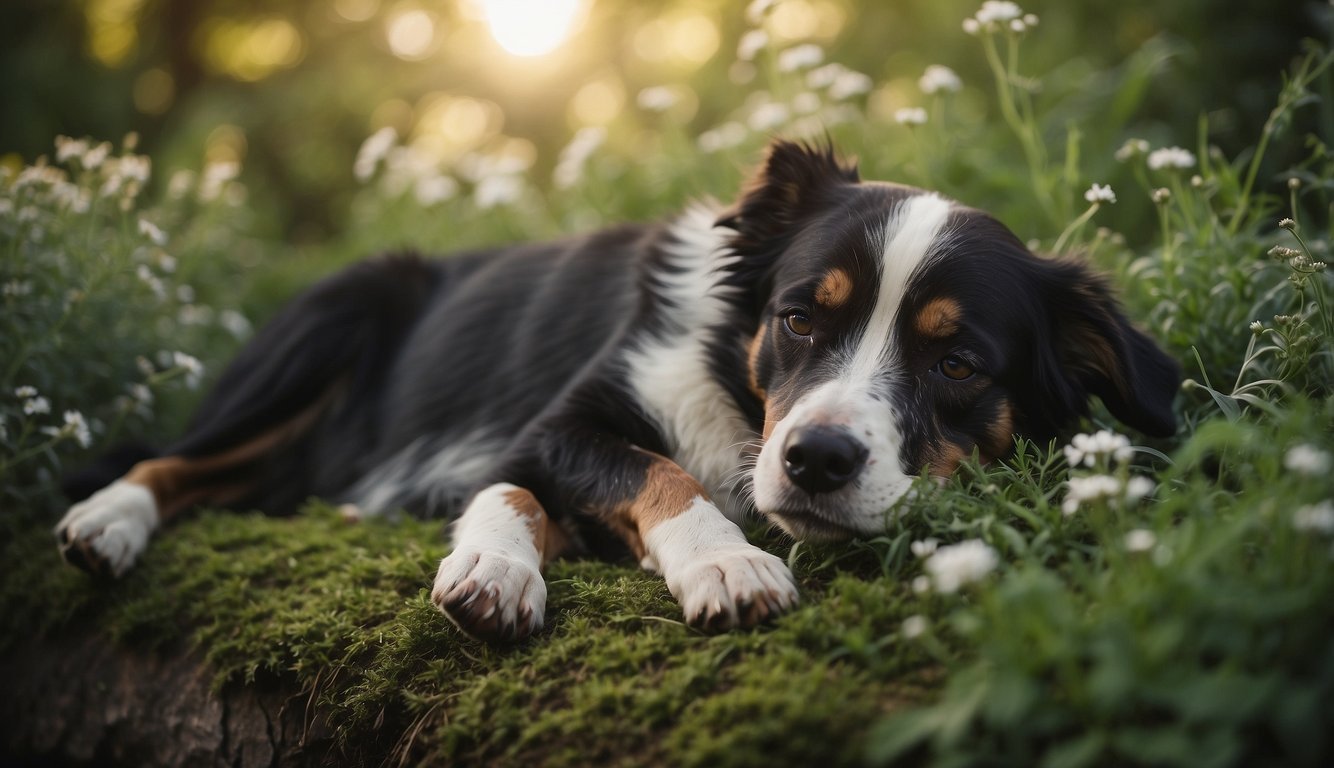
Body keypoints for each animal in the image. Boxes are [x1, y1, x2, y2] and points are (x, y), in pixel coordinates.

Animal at [54, 139, 1179, 642]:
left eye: (956, 365)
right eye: (799, 319)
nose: (815, 461)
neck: (738, 400)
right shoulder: (552, 426)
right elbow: (630, 472)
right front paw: (720, 564)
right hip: (330, 318)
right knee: (171, 457)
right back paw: (106, 523)